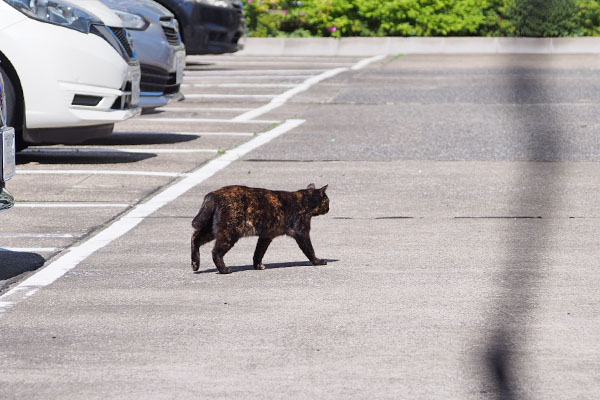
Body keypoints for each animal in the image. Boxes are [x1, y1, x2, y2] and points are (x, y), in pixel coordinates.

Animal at [190, 183, 328, 274]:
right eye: (327, 200)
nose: (329, 207)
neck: (305, 200)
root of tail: (214, 195)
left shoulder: (266, 236)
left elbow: (258, 252)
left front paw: (257, 265)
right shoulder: (302, 232)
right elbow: (309, 249)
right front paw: (317, 261)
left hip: (210, 229)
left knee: (194, 238)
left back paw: (195, 264)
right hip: (229, 233)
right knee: (215, 252)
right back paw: (224, 269)